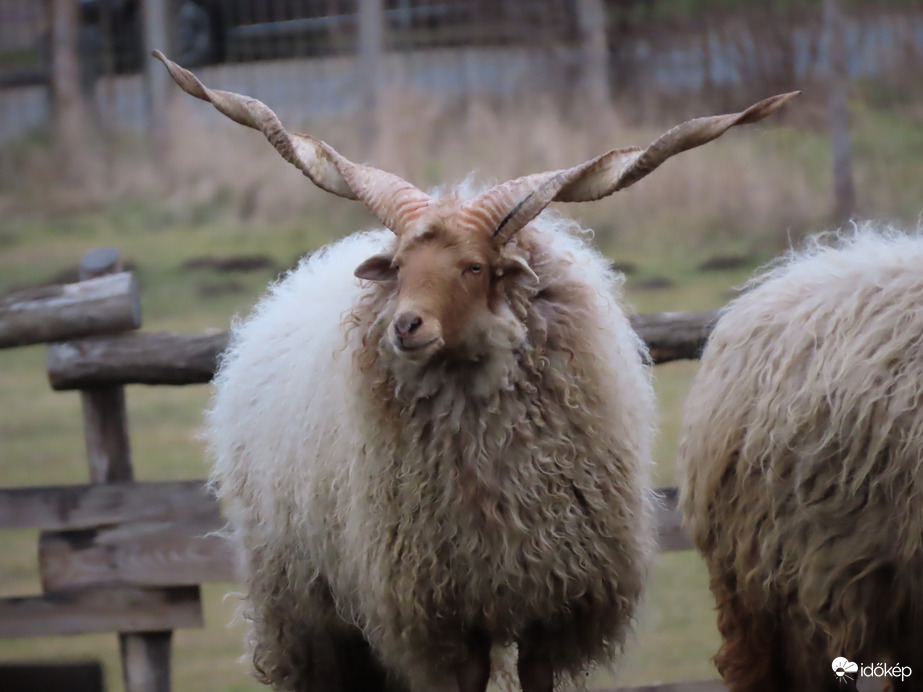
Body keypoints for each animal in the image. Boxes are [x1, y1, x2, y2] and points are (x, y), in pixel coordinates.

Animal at [155, 50, 796, 692]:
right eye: (399, 266)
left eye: (474, 267)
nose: (405, 326)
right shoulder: (442, 617)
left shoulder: (550, 605)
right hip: (306, 606)